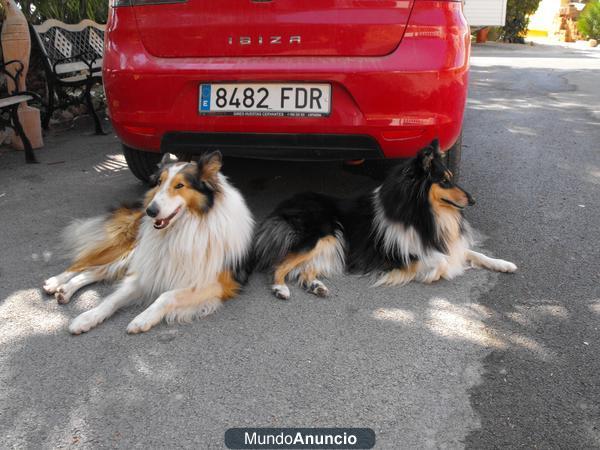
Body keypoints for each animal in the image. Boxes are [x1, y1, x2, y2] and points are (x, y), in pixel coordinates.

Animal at [41, 152, 253, 334]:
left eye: (180, 185)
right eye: (159, 182)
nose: (150, 211)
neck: (183, 229)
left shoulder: (218, 282)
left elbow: (167, 295)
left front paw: (142, 319)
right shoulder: (149, 269)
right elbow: (112, 299)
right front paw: (87, 317)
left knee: (96, 270)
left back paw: (65, 290)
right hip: (129, 248)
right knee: (84, 264)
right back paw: (55, 283)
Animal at [253, 139, 516, 300]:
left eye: (451, 178)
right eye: (444, 181)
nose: (473, 200)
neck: (421, 213)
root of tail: (283, 207)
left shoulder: (444, 244)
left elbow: (473, 253)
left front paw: (504, 264)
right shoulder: (396, 255)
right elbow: (440, 261)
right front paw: (432, 275)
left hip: (334, 244)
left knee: (303, 269)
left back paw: (316, 286)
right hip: (323, 234)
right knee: (279, 263)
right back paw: (280, 288)